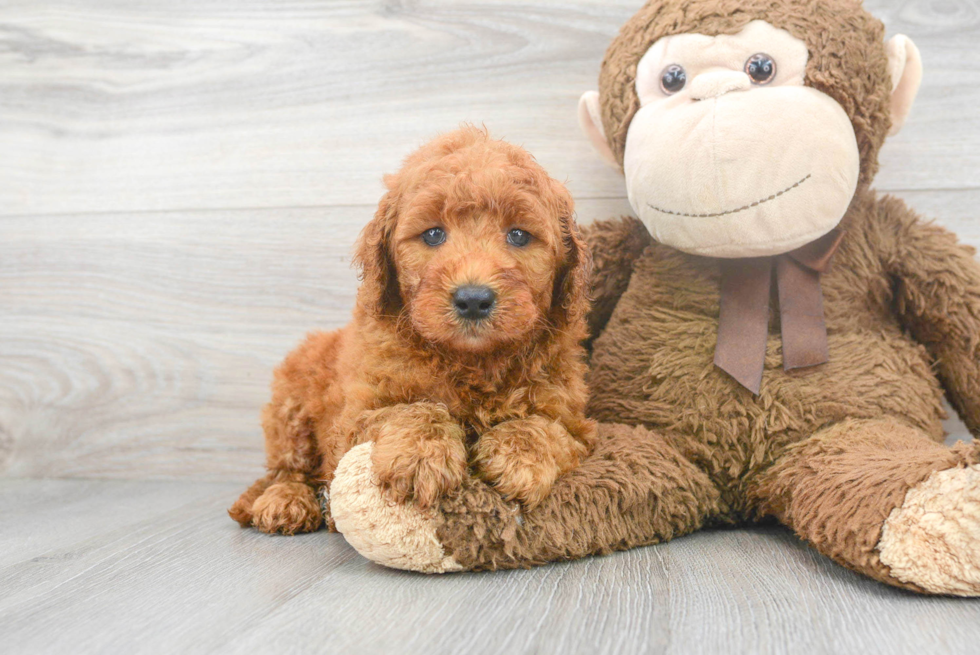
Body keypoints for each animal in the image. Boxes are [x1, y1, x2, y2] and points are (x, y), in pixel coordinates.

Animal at [230, 125, 596, 536]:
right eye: (433, 234)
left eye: (518, 235)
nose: (473, 298)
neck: (471, 361)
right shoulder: (352, 421)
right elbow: (410, 410)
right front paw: (420, 456)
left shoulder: (575, 422)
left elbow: (546, 428)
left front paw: (519, 459)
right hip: (289, 410)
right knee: (285, 469)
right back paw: (285, 501)